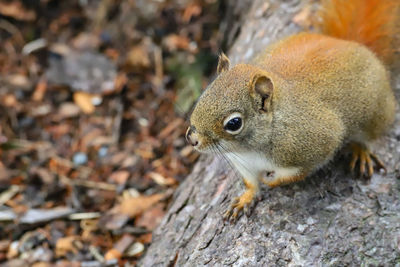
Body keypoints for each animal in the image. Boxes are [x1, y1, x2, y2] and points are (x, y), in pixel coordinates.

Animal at [186, 0, 398, 222]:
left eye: (234, 123)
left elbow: (298, 173)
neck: (250, 148)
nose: (192, 139)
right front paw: (246, 197)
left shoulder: (315, 144)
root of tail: (343, 42)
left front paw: (272, 180)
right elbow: (251, 182)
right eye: (204, 95)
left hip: (375, 113)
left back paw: (361, 151)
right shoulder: (242, 163)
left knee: (368, 136)